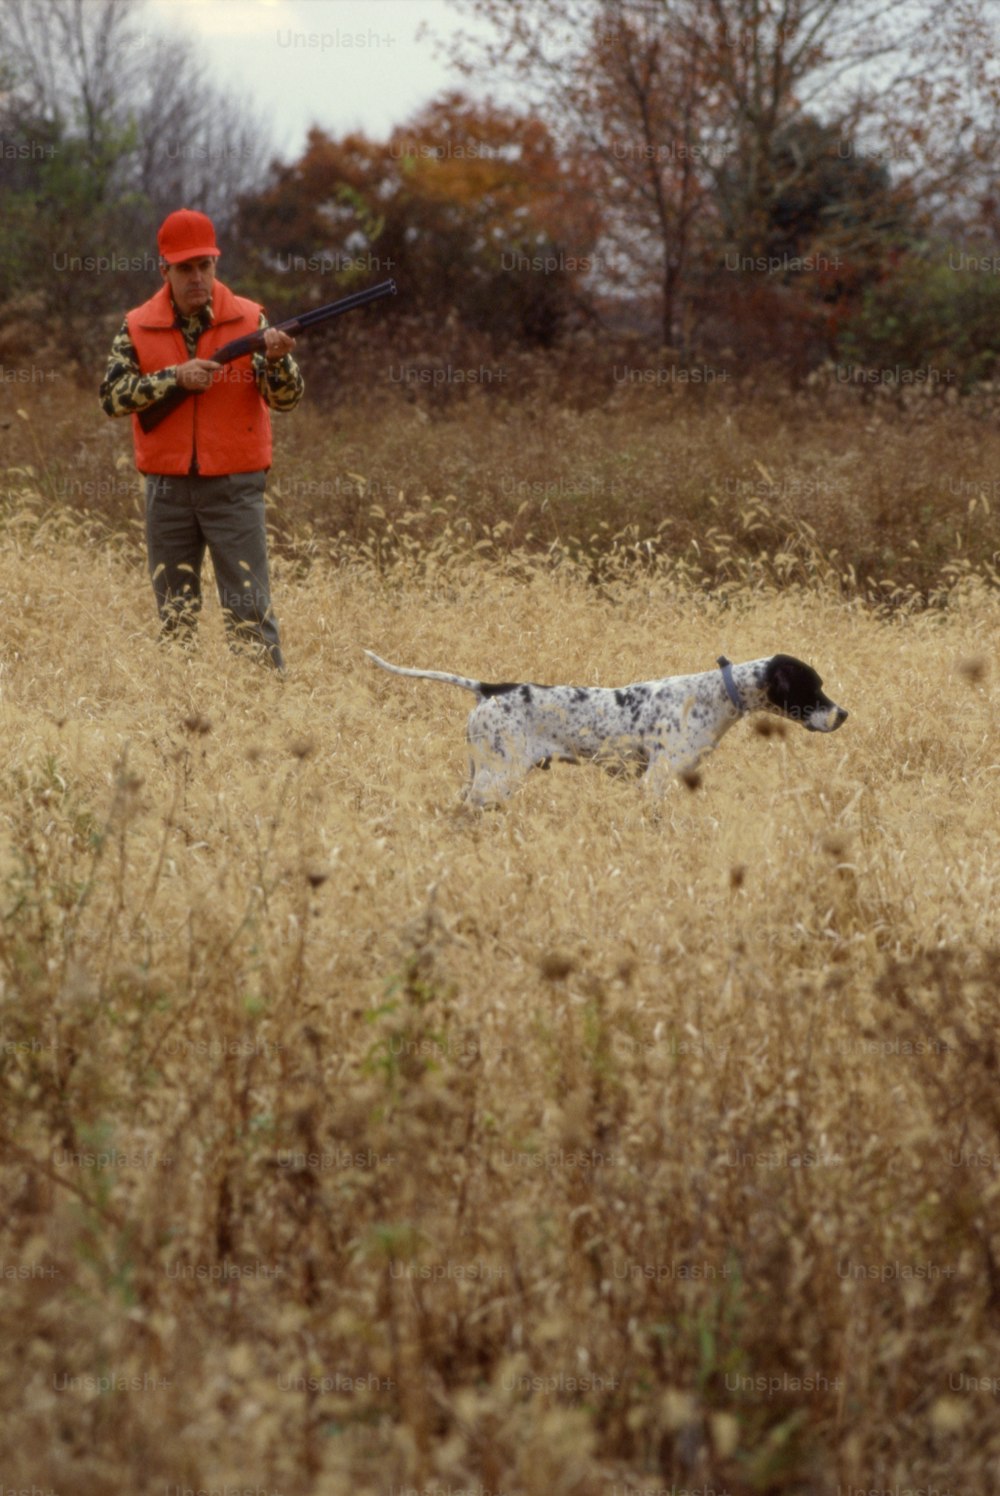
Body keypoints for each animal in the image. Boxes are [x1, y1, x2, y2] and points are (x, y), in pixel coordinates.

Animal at [363, 646, 850, 807]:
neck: (714, 696)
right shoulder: (656, 781)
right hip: (496, 778)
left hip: (478, 773)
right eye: (813, 687)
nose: (843, 714)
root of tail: (489, 689)